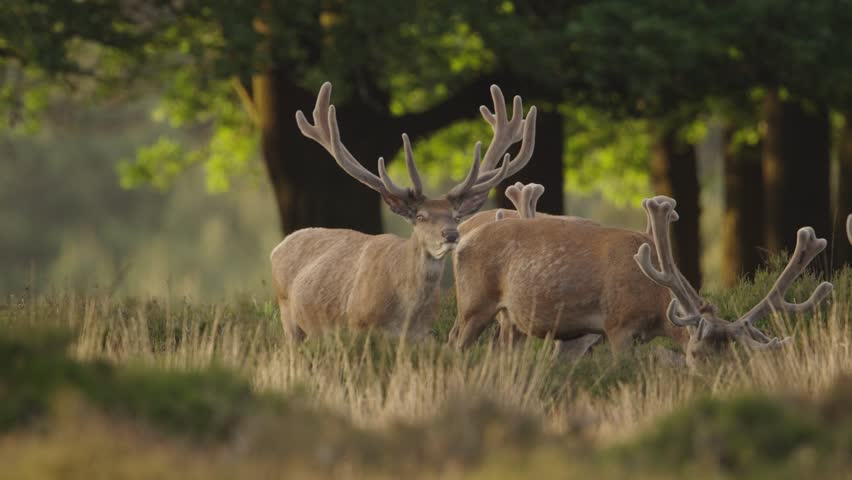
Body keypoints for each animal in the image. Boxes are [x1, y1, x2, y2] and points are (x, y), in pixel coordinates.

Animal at [269, 82, 537, 341]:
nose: (451, 235)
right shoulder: (357, 327)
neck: (405, 315)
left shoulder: (421, 337)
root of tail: (279, 246)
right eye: (420, 217)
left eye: (456, 216)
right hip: (288, 316)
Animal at [449, 195, 833, 365]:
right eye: (695, 353)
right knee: (455, 344)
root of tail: (461, 241)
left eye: (731, 357)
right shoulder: (618, 324)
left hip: (509, 319)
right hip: (473, 304)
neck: (655, 305)